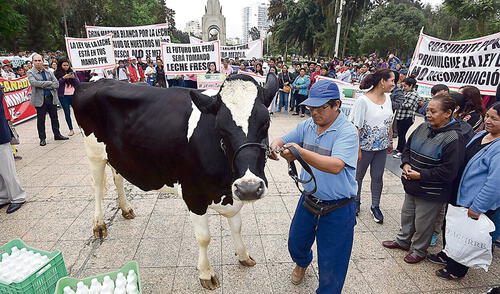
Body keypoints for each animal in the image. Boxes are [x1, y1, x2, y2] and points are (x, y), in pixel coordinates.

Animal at [73, 73, 280, 290]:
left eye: (266, 123)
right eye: (220, 128)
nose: (250, 187)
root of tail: (96, 81)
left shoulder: (232, 192)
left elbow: (237, 226)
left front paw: (243, 256)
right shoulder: (193, 195)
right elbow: (204, 238)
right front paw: (206, 273)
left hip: (117, 155)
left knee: (117, 177)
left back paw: (126, 209)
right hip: (94, 153)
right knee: (97, 188)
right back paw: (99, 225)